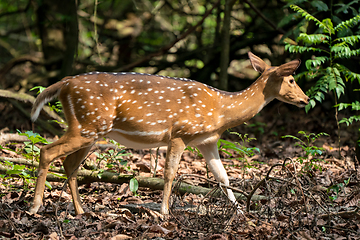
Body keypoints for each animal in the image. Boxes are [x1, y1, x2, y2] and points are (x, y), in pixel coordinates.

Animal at [29, 52, 310, 216]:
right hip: (87, 125)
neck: (221, 110)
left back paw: (80, 210)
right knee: (47, 151)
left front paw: (241, 213)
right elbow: (169, 173)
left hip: (91, 130)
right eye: (292, 79)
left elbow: (223, 177)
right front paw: (164, 211)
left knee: (69, 164)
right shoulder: (180, 133)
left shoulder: (207, 140)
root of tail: (64, 84)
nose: (306, 100)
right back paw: (35, 206)